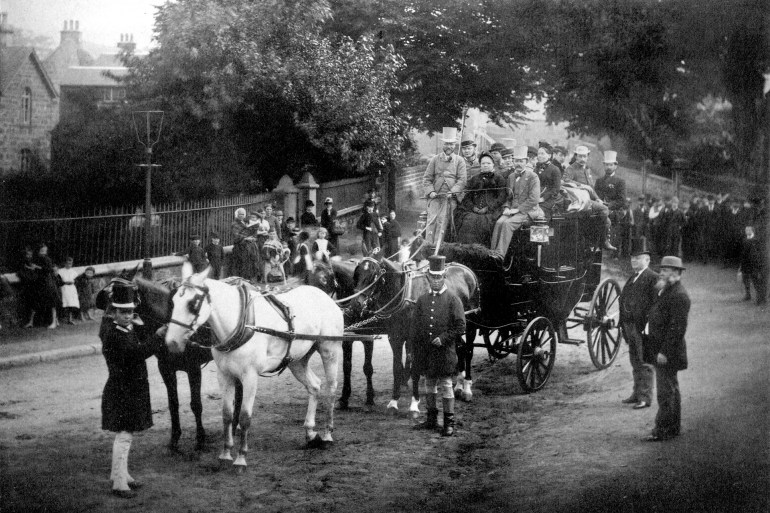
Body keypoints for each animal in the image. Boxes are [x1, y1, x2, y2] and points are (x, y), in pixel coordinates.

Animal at [97, 274, 240, 450]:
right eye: (105, 299)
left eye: (120, 300)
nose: (103, 333)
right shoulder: (165, 368)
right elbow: (173, 404)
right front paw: (174, 438)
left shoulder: (193, 368)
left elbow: (196, 404)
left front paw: (200, 438)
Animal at [165, 264, 342, 468]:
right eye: (173, 302)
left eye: (192, 303)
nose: (171, 342)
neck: (239, 324)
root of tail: (326, 297)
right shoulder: (224, 375)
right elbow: (227, 414)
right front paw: (225, 453)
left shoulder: (249, 376)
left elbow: (244, 416)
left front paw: (241, 458)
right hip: (297, 360)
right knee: (314, 386)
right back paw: (310, 432)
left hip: (329, 350)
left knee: (331, 388)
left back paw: (327, 433)